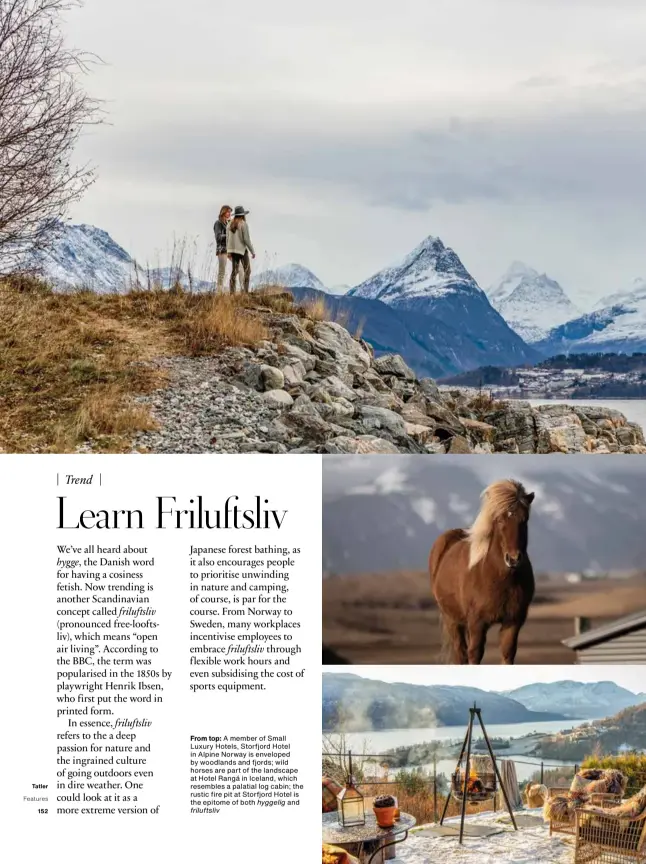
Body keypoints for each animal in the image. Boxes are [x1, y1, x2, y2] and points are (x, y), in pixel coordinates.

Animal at [430, 476, 536, 664]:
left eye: (525, 520)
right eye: (500, 520)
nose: (514, 559)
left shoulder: (513, 621)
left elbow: (508, 653)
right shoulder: (477, 623)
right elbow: (475, 653)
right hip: (452, 620)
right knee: (460, 653)